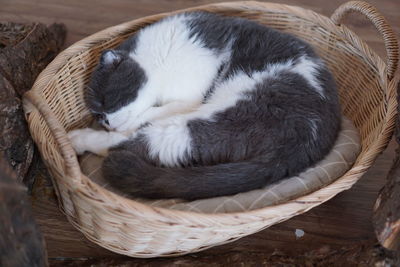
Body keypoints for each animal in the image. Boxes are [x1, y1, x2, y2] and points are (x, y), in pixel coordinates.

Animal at [68, 12, 340, 201]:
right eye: (99, 114)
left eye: (106, 101)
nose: (108, 123)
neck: (161, 56)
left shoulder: (189, 97)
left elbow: (152, 112)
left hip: (222, 118)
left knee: (137, 143)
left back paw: (78, 139)